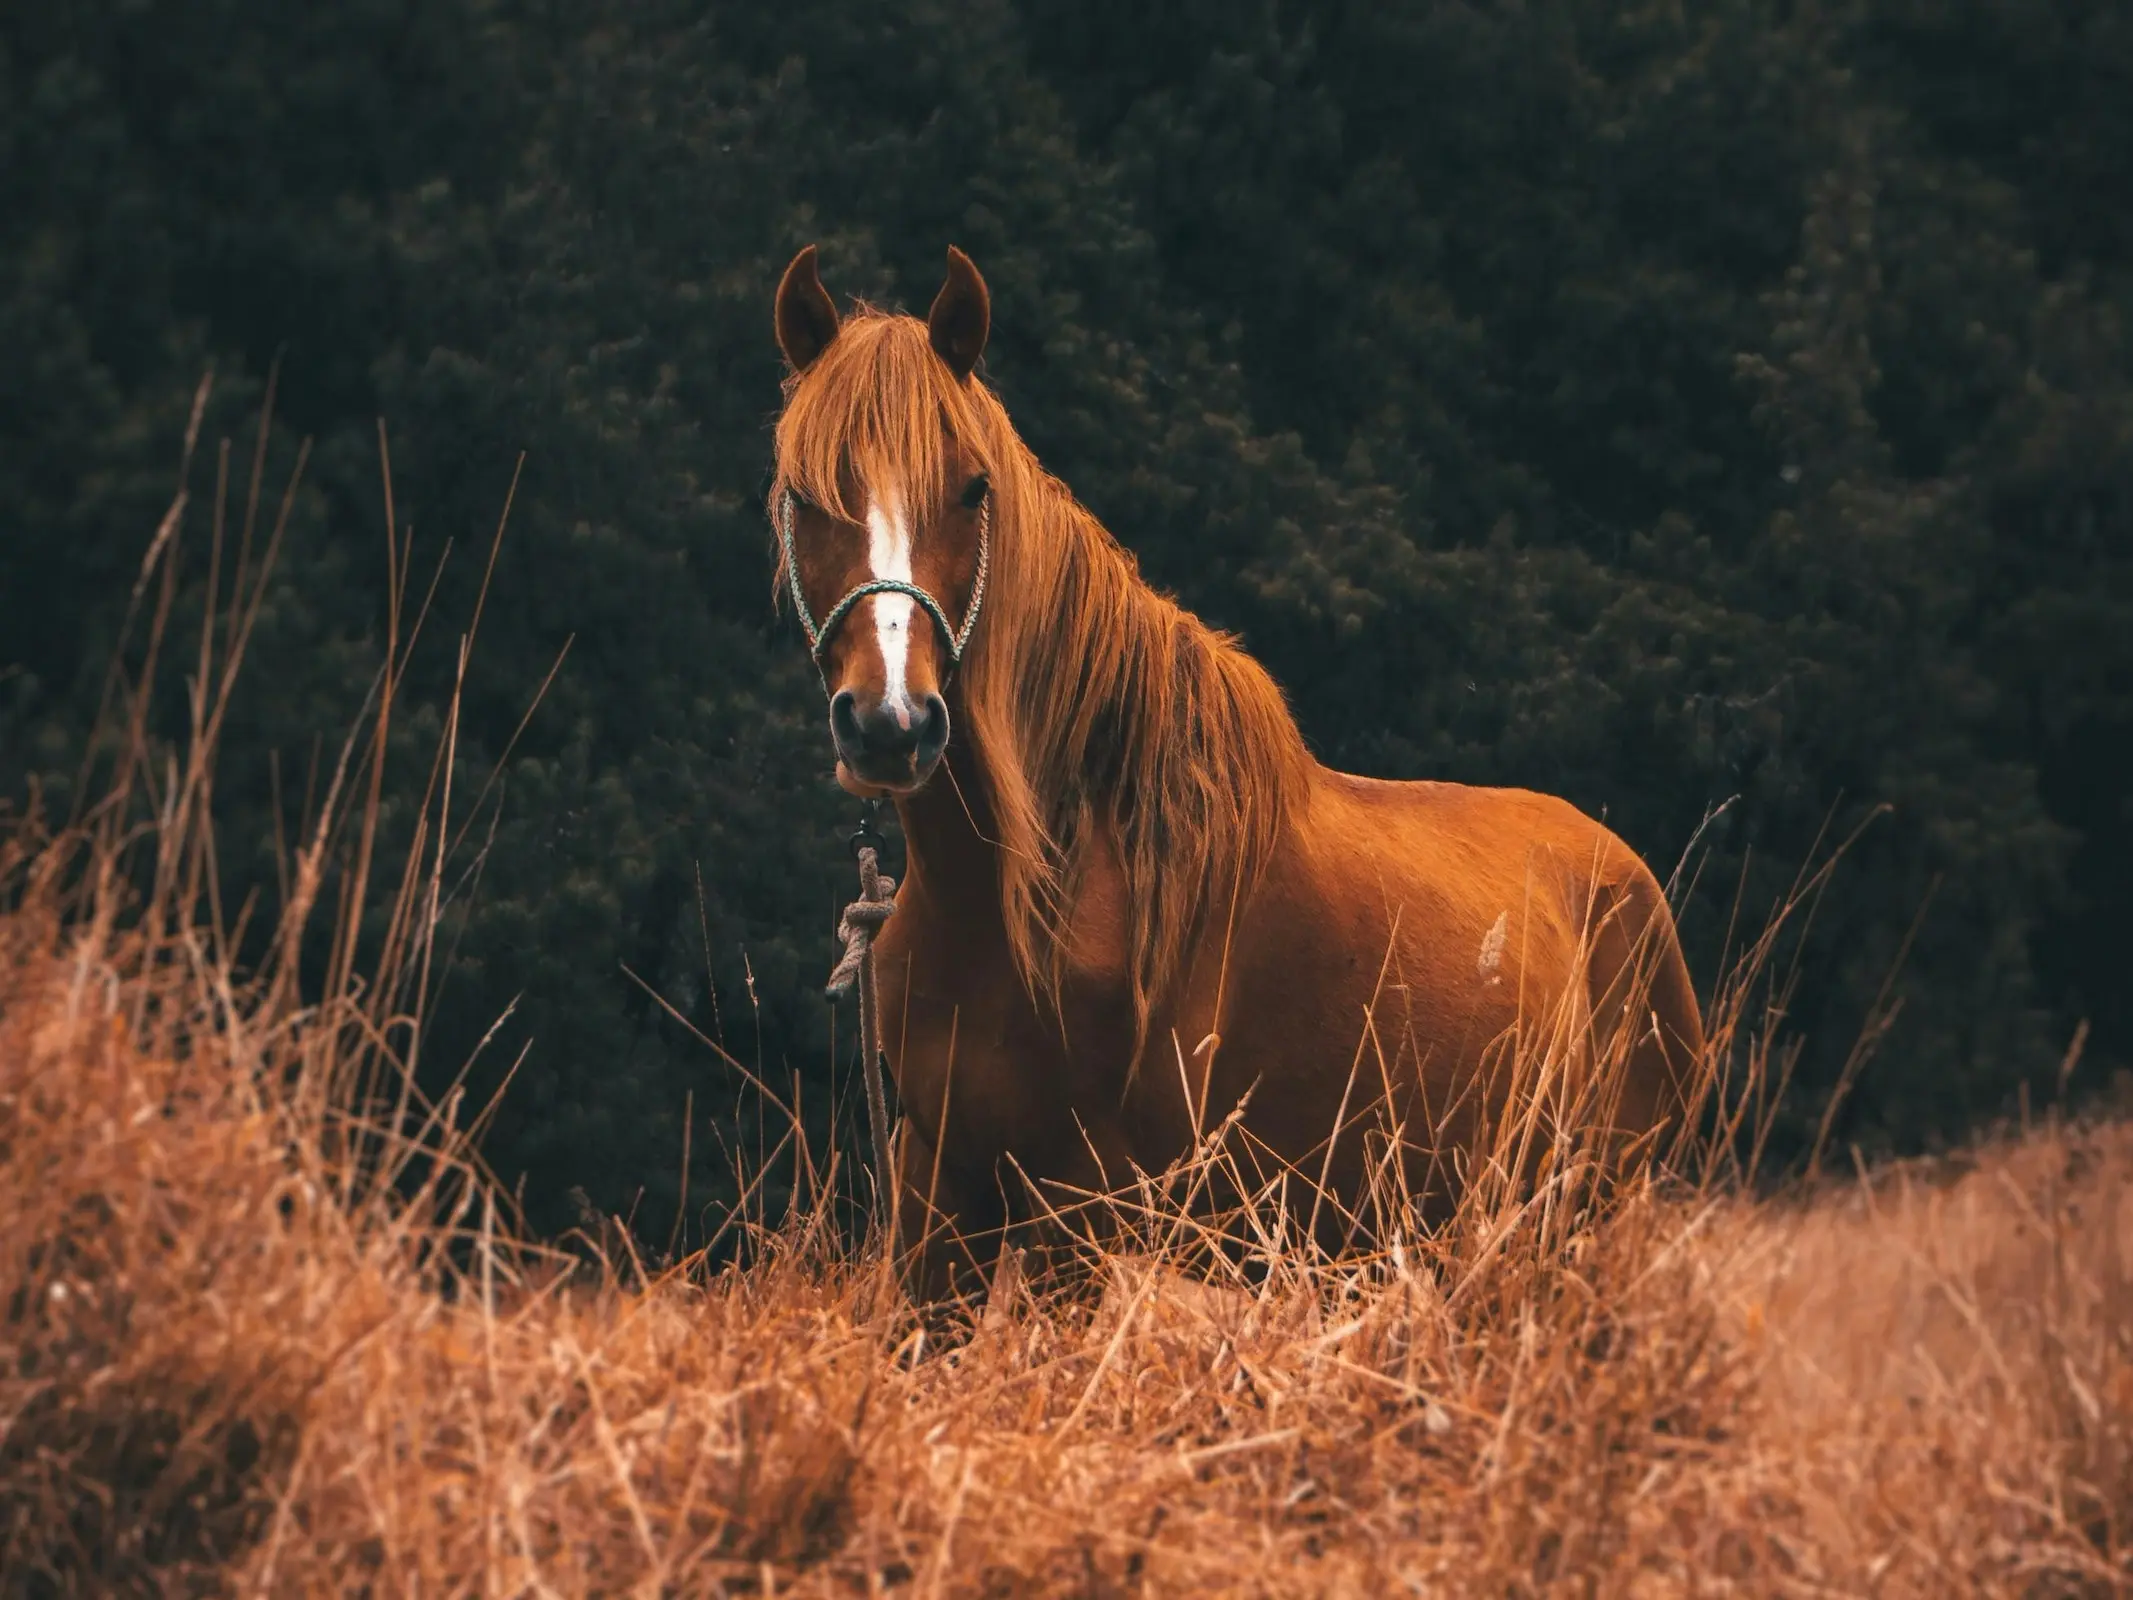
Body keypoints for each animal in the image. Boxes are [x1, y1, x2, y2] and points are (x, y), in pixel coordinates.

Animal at [767, 247, 1697, 1305]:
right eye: (802, 495)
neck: (1046, 889)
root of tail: (1632, 882)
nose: (890, 723)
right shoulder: (936, 1206)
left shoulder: (1081, 1216)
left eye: (970, 489)